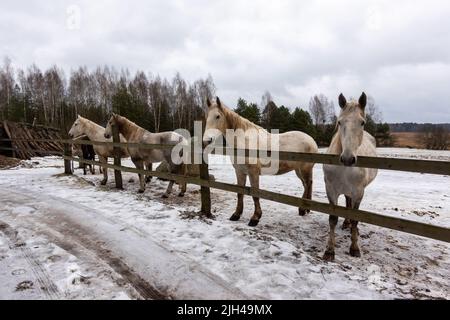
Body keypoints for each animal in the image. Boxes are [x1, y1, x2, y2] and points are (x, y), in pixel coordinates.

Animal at [322, 92, 378, 262]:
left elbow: (355, 218)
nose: (348, 159)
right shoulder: (331, 190)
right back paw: (346, 224)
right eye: (340, 122)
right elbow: (333, 219)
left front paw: (354, 248)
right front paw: (329, 251)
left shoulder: (358, 192)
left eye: (362, 122)